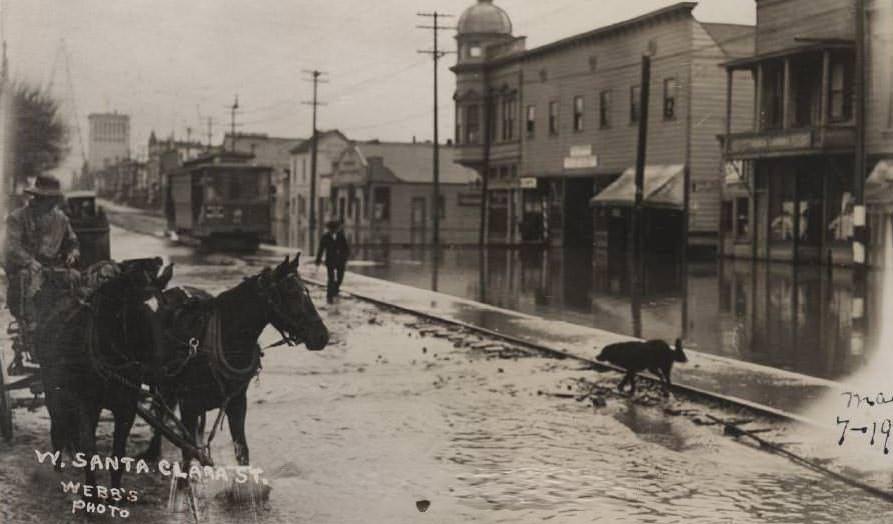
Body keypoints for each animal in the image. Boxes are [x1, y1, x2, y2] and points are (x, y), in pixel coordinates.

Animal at [36, 258, 173, 492]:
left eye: (164, 312)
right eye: (138, 313)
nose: (160, 370)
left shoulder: (126, 408)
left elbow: (117, 456)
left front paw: (115, 493)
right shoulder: (83, 403)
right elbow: (89, 449)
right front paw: (91, 494)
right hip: (52, 391)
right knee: (58, 426)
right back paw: (57, 470)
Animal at [141, 254, 330, 470]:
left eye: (307, 291)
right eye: (292, 294)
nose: (322, 336)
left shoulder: (237, 404)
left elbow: (242, 451)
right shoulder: (189, 406)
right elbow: (188, 454)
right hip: (163, 384)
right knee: (160, 412)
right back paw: (152, 450)